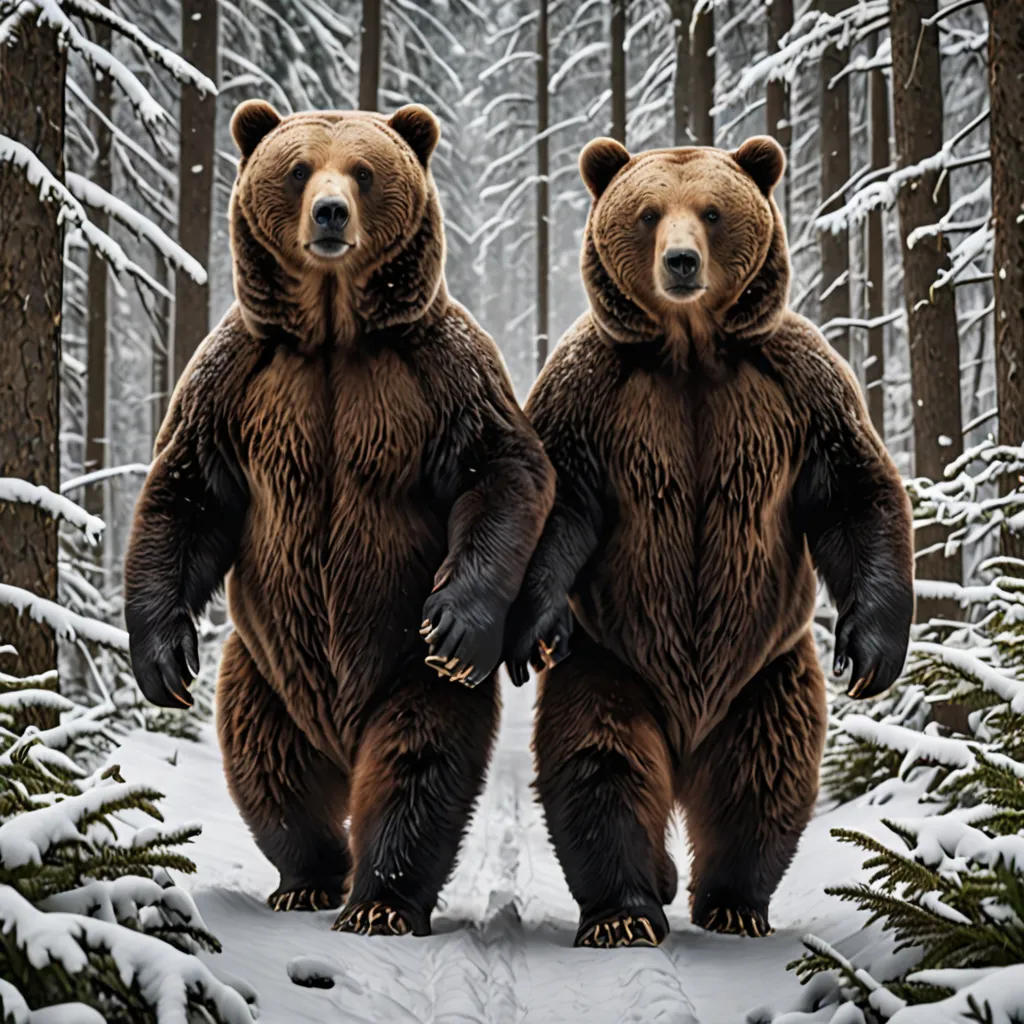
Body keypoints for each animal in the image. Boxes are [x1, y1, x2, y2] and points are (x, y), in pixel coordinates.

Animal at [123, 100, 554, 938]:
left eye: (363, 169)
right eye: (298, 168)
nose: (329, 212)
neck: (332, 328)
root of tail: (338, 724)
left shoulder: (433, 370)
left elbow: (499, 469)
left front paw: (458, 619)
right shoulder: (240, 378)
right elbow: (187, 491)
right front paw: (162, 659)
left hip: (400, 666)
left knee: (417, 760)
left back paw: (381, 897)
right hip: (262, 666)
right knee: (267, 762)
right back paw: (310, 875)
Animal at [503, 135, 914, 948]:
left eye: (714, 211)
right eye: (648, 212)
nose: (682, 261)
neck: (689, 347)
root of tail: (688, 735)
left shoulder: (796, 385)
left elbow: (853, 490)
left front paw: (874, 653)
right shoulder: (595, 390)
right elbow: (561, 497)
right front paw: (534, 625)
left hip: (767, 669)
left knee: (762, 772)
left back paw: (733, 901)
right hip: (614, 660)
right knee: (601, 760)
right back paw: (627, 906)